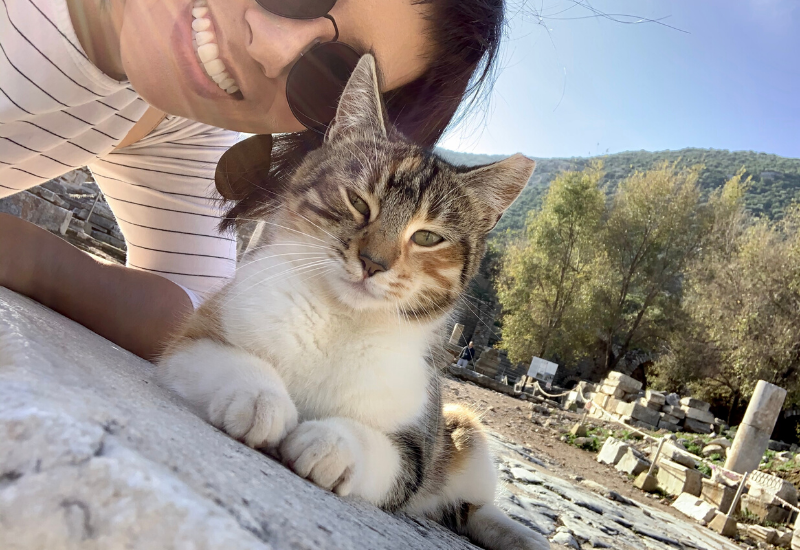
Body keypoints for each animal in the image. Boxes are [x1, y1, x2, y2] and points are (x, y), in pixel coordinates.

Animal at [162, 52, 552, 550]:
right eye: (358, 202)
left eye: (428, 237)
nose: (372, 262)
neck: (340, 319)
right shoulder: (195, 336)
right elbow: (223, 357)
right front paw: (260, 398)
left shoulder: (417, 446)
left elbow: (387, 454)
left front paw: (331, 444)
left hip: (465, 432)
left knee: (469, 507)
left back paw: (520, 535)